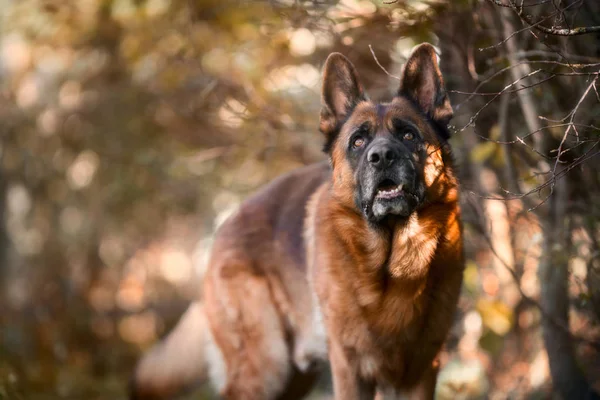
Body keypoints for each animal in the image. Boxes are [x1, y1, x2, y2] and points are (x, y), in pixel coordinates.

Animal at [132, 43, 464, 400]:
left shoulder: (420, 373)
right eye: (358, 142)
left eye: (408, 134)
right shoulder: (350, 369)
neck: (393, 266)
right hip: (266, 366)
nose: (382, 157)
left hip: (293, 377)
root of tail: (226, 224)